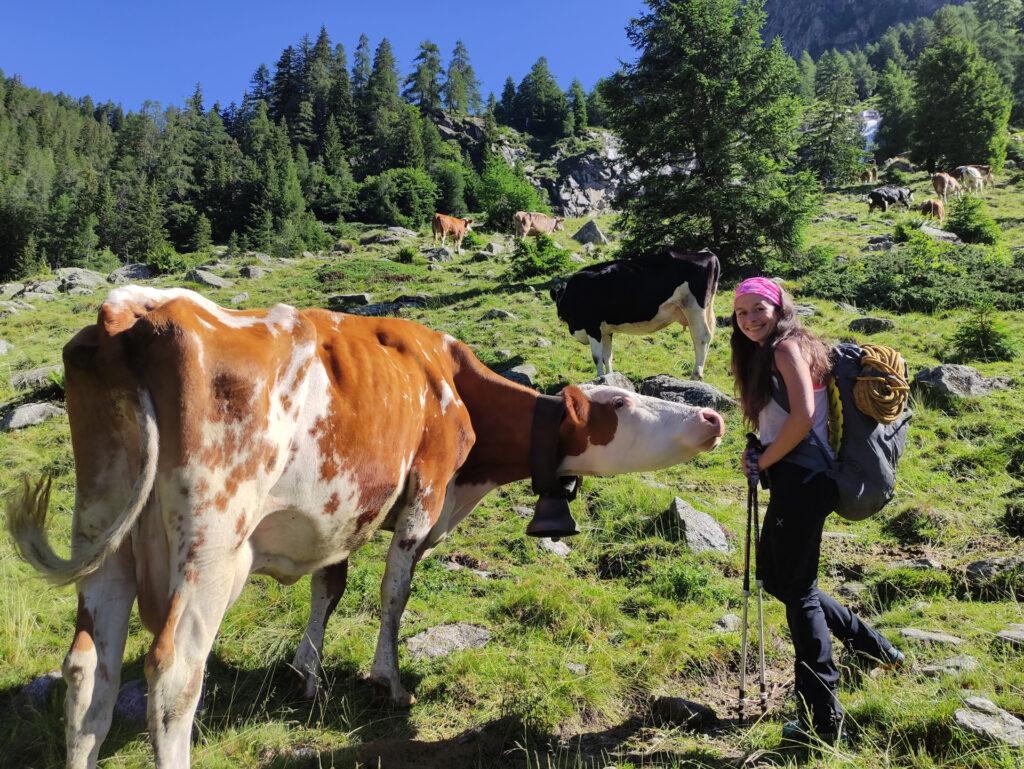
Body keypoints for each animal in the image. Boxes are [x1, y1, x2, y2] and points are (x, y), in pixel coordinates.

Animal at [9, 286, 729, 769]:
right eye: (620, 403)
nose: (712, 418)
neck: (451, 382)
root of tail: (134, 311)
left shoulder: (339, 510)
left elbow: (329, 588)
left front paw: (307, 675)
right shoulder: (425, 491)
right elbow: (393, 593)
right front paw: (390, 681)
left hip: (106, 531)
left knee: (88, 670)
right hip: (212, 544)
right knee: (173, 669)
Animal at [552, 250, 720, 380]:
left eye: (559, 303)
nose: (560, 315)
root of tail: (706, 254)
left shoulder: (592, 326)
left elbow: (597, 356)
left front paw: (599, 378)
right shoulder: (606, 330)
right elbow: (608, 355)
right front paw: (609, 376)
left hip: (694, 307)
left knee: (701, 337)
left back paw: (696, 374)